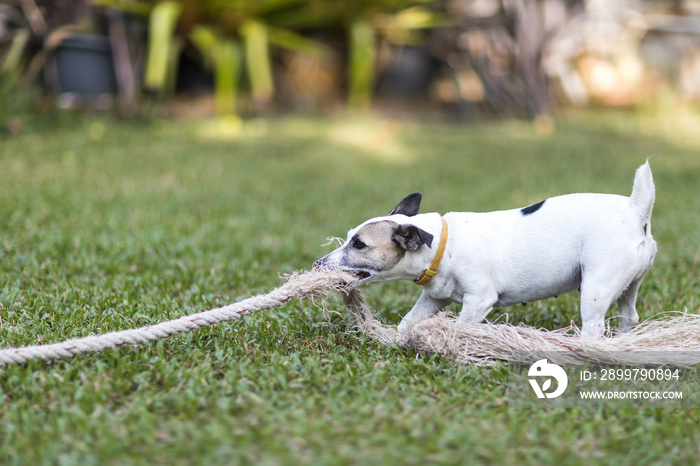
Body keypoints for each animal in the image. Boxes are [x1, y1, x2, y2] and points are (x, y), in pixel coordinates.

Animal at [316, 160, 656, 334]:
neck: (443, 244)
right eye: (349, 237)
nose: (319, 264)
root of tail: (635, 210)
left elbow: (459, 328)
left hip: (595, 291)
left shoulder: (479, 301)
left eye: (359, 244)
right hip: (627, 287)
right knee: (629, 317)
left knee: (594, 327)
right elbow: (406, 323)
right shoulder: (432, 299)